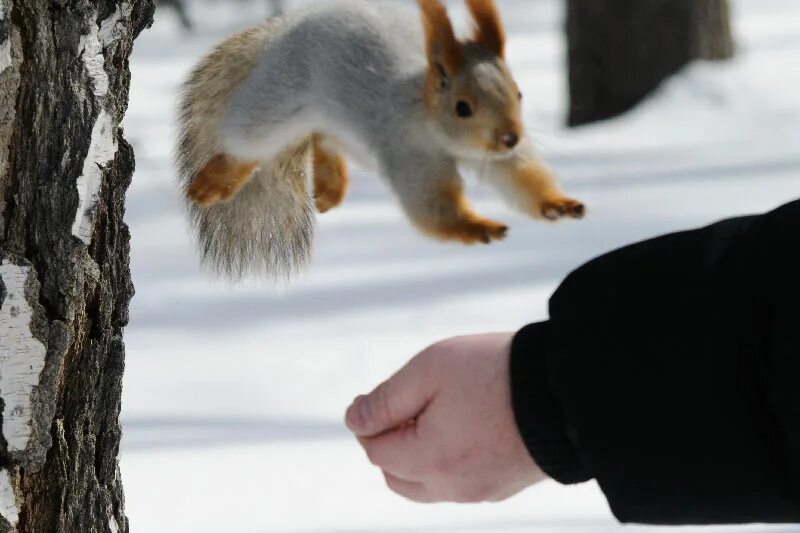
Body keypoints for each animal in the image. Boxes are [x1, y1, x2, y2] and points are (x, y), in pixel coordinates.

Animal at [178, 0, 584, 280]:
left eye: (519, 93)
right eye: (462, 107)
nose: (510, 137)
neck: (428, 118)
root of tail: (291, 24)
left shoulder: (502, 159)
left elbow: (522, 179)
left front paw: (557, 204)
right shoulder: (411, 155)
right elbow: (433, 208)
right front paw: (478, 226)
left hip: (343, 130)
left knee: (322, 138)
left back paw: (330, 187)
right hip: (277, 101)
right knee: (246, 142)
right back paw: (211, 182)